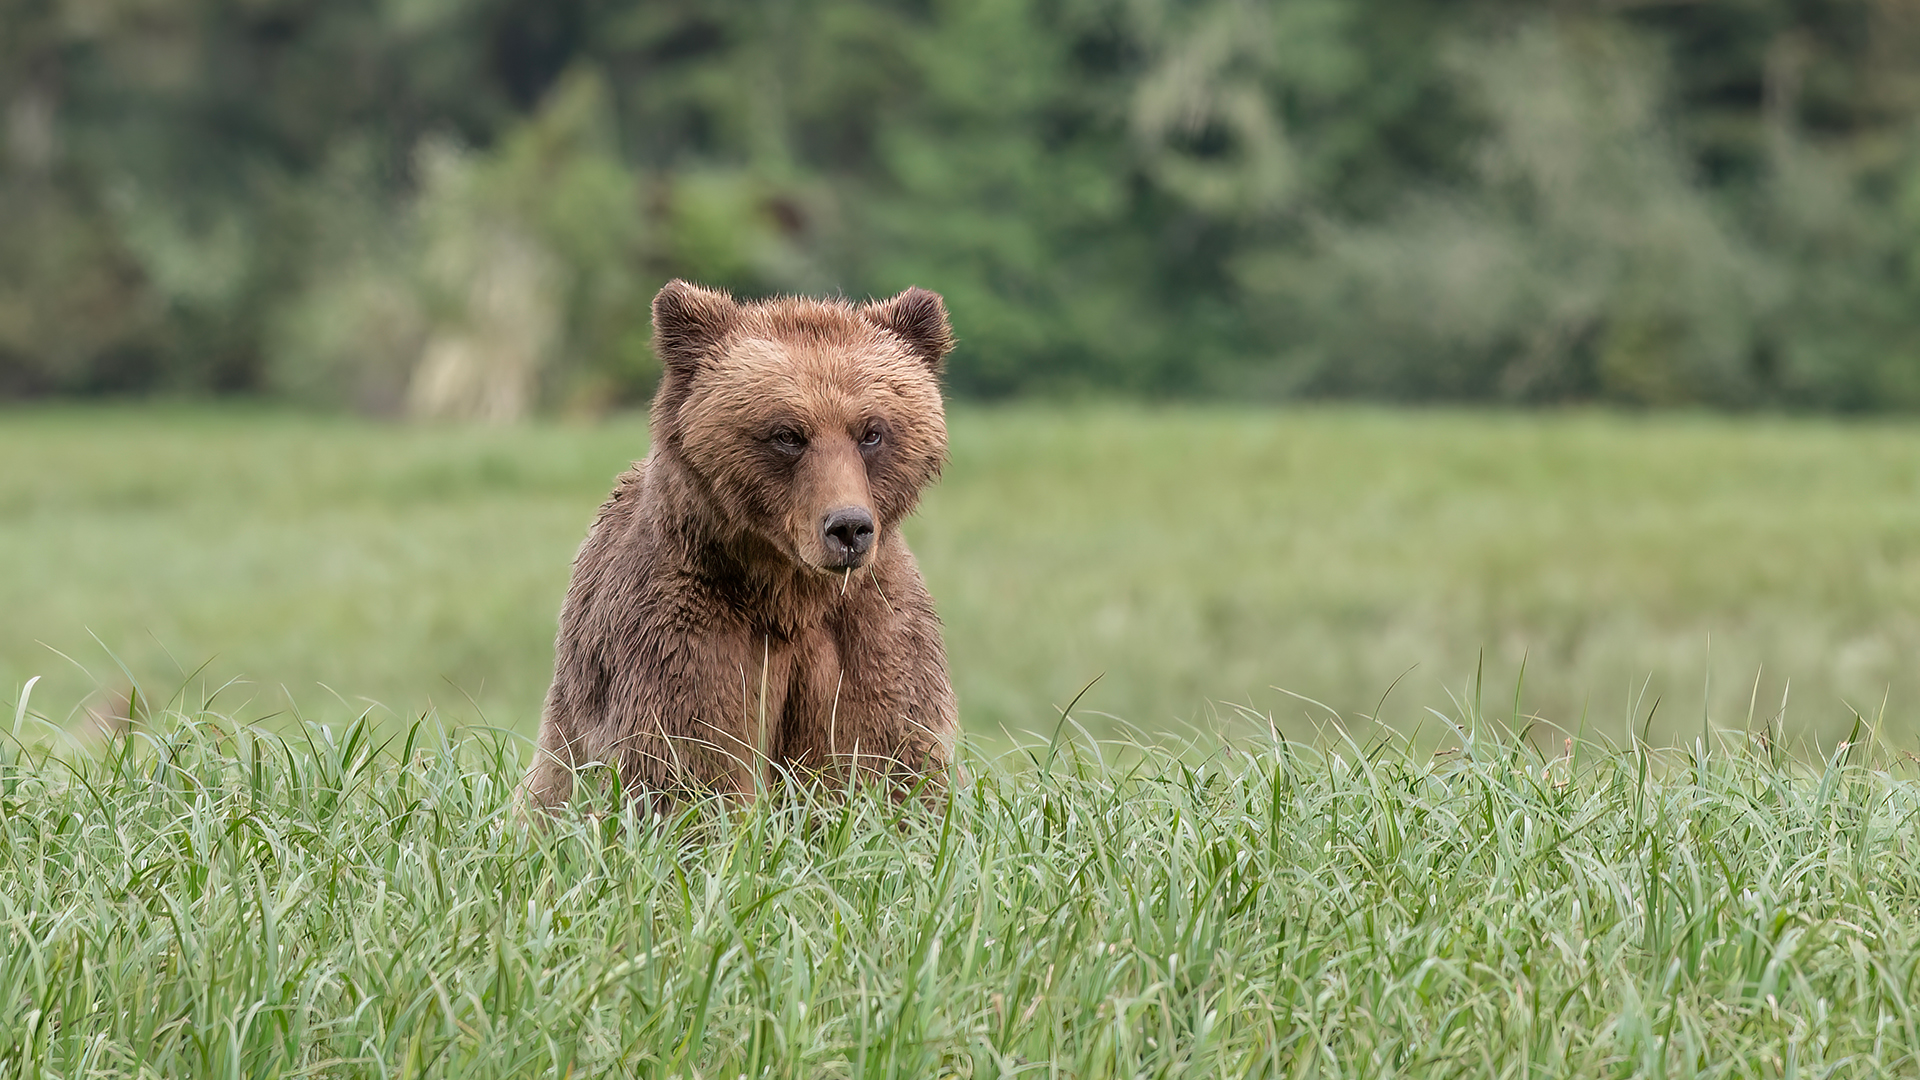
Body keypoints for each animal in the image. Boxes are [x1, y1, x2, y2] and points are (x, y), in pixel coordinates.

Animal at [519, 279, 959, 812]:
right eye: (788, 434)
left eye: (872, 432)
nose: (849, 528)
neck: (789, 594)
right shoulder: (684, 633)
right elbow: (693, 765)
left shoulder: (873, 633)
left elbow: (890, 758)